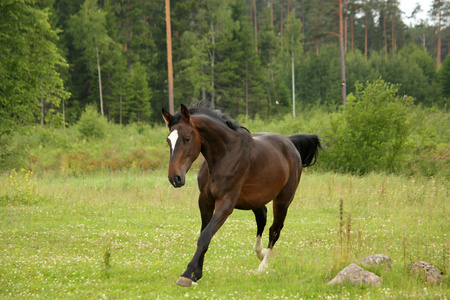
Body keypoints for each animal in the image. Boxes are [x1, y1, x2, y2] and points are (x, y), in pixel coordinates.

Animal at [162, 103, 320, 288]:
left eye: (187, 139)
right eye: (168, 140)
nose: (175, 178)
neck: (224, 156)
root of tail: (289, 143)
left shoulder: (226, 204)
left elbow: (205, 236)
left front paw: (186, 275)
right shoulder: (205, 201)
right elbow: (204, 234)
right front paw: (197, 274)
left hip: (283, 200)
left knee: (274, 230)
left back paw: (262, 266)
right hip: (255, 199)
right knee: (262, 217)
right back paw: (260, 252)